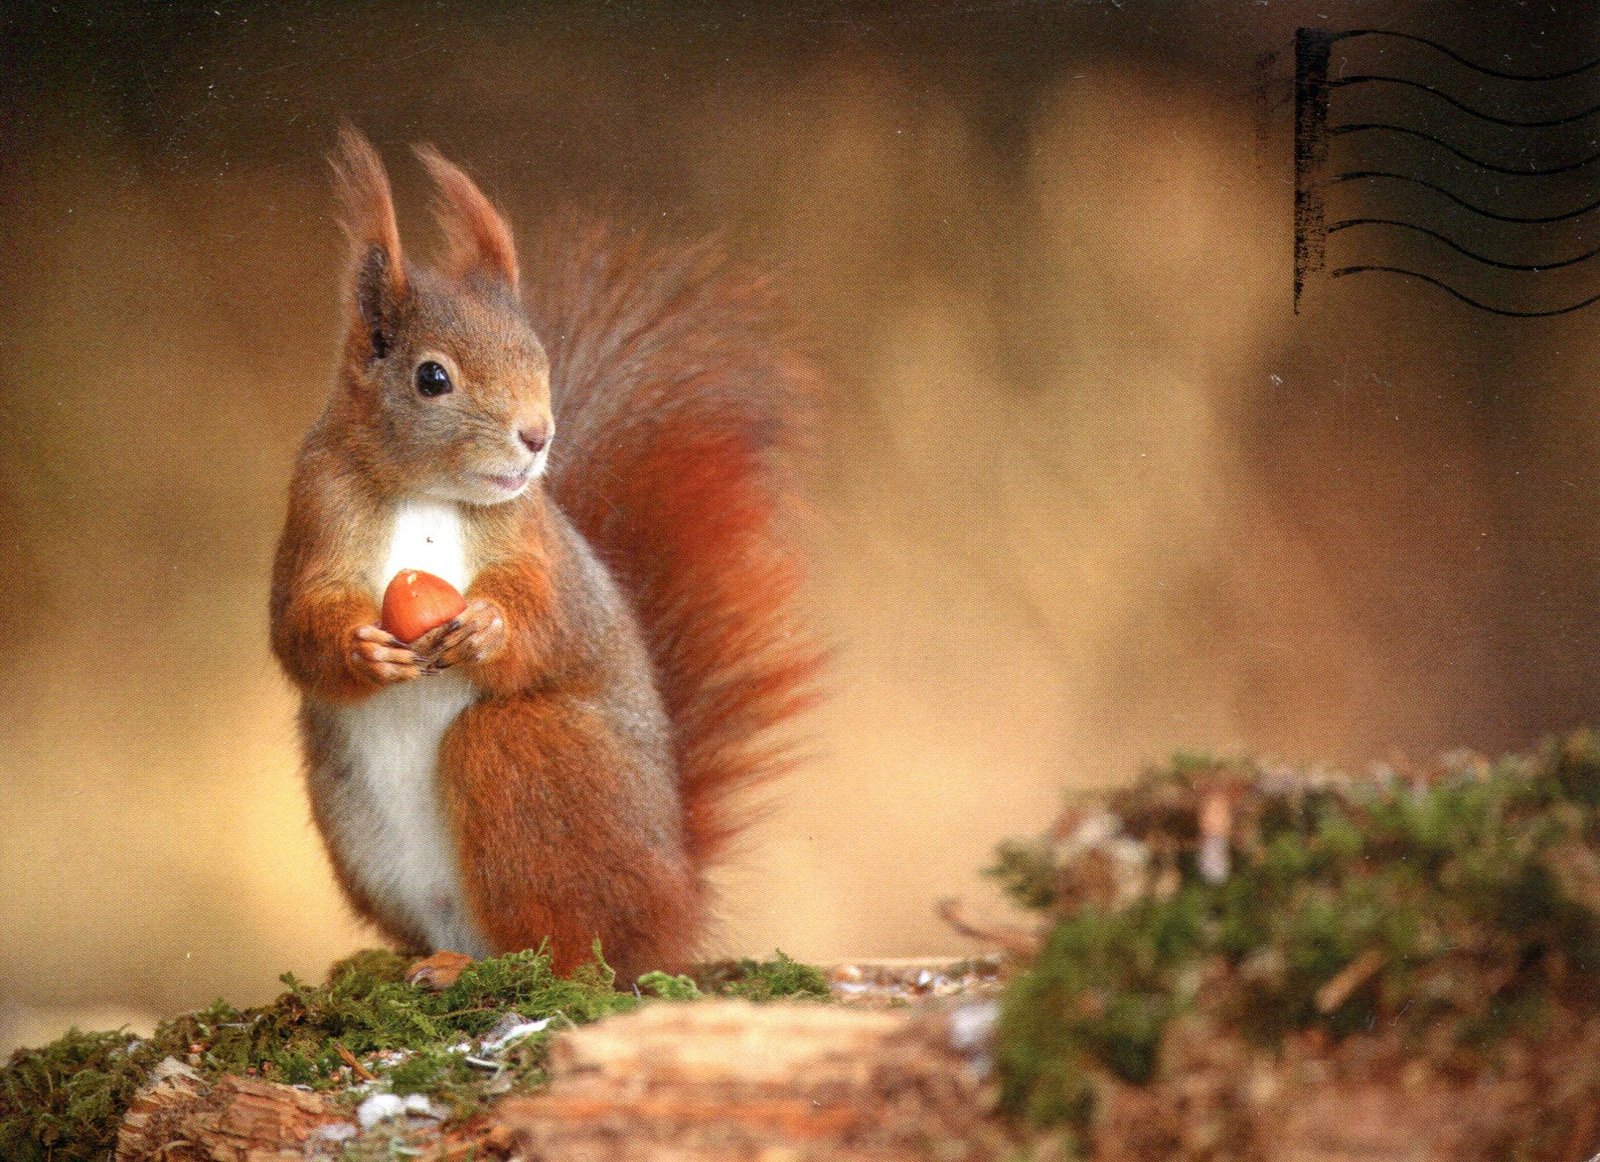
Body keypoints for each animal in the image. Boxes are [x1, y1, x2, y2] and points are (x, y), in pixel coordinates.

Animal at [270, 127, 821, 982]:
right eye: (432, 377)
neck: (424, 493)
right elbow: (297, 624)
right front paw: (362, 650)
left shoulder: (535, 543)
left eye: (539, 359)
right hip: (355, 823)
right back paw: (429, 962)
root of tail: (675, 906)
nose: (537, 437)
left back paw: (488, 968)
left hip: (527, 756)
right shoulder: (315, 515)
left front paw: (488, 629)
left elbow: (547, 615)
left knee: (567, 948)